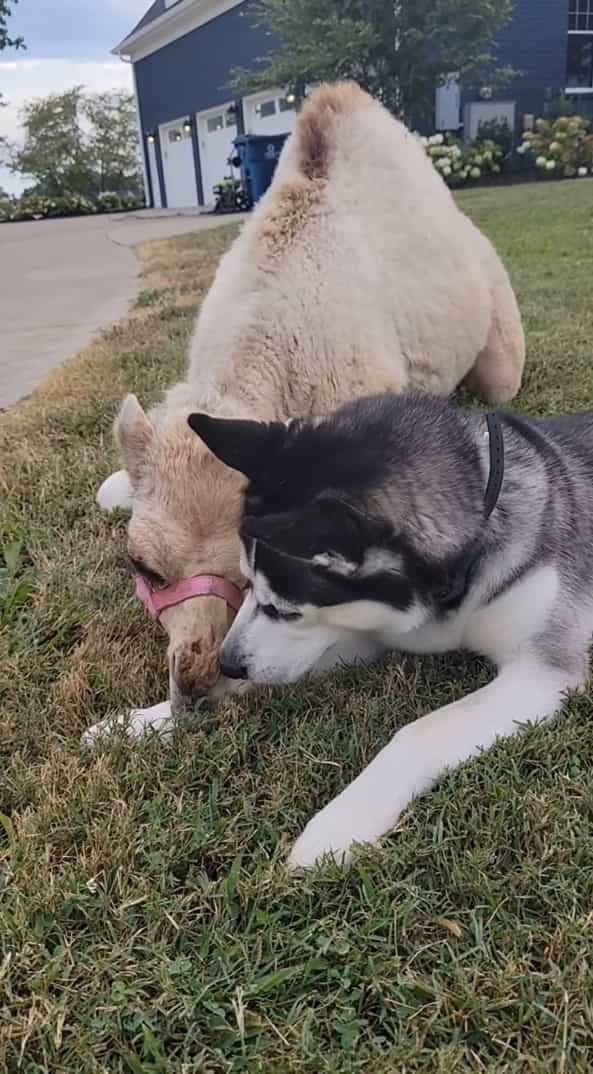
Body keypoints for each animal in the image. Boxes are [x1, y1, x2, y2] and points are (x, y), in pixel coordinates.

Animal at [189, 399, 593, 867]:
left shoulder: (540, 671)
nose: (227, 663)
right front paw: (155, 717)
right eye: (245, 583)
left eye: (284, 610)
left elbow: (416, 733)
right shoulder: (374, 629)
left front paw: (339, 824)